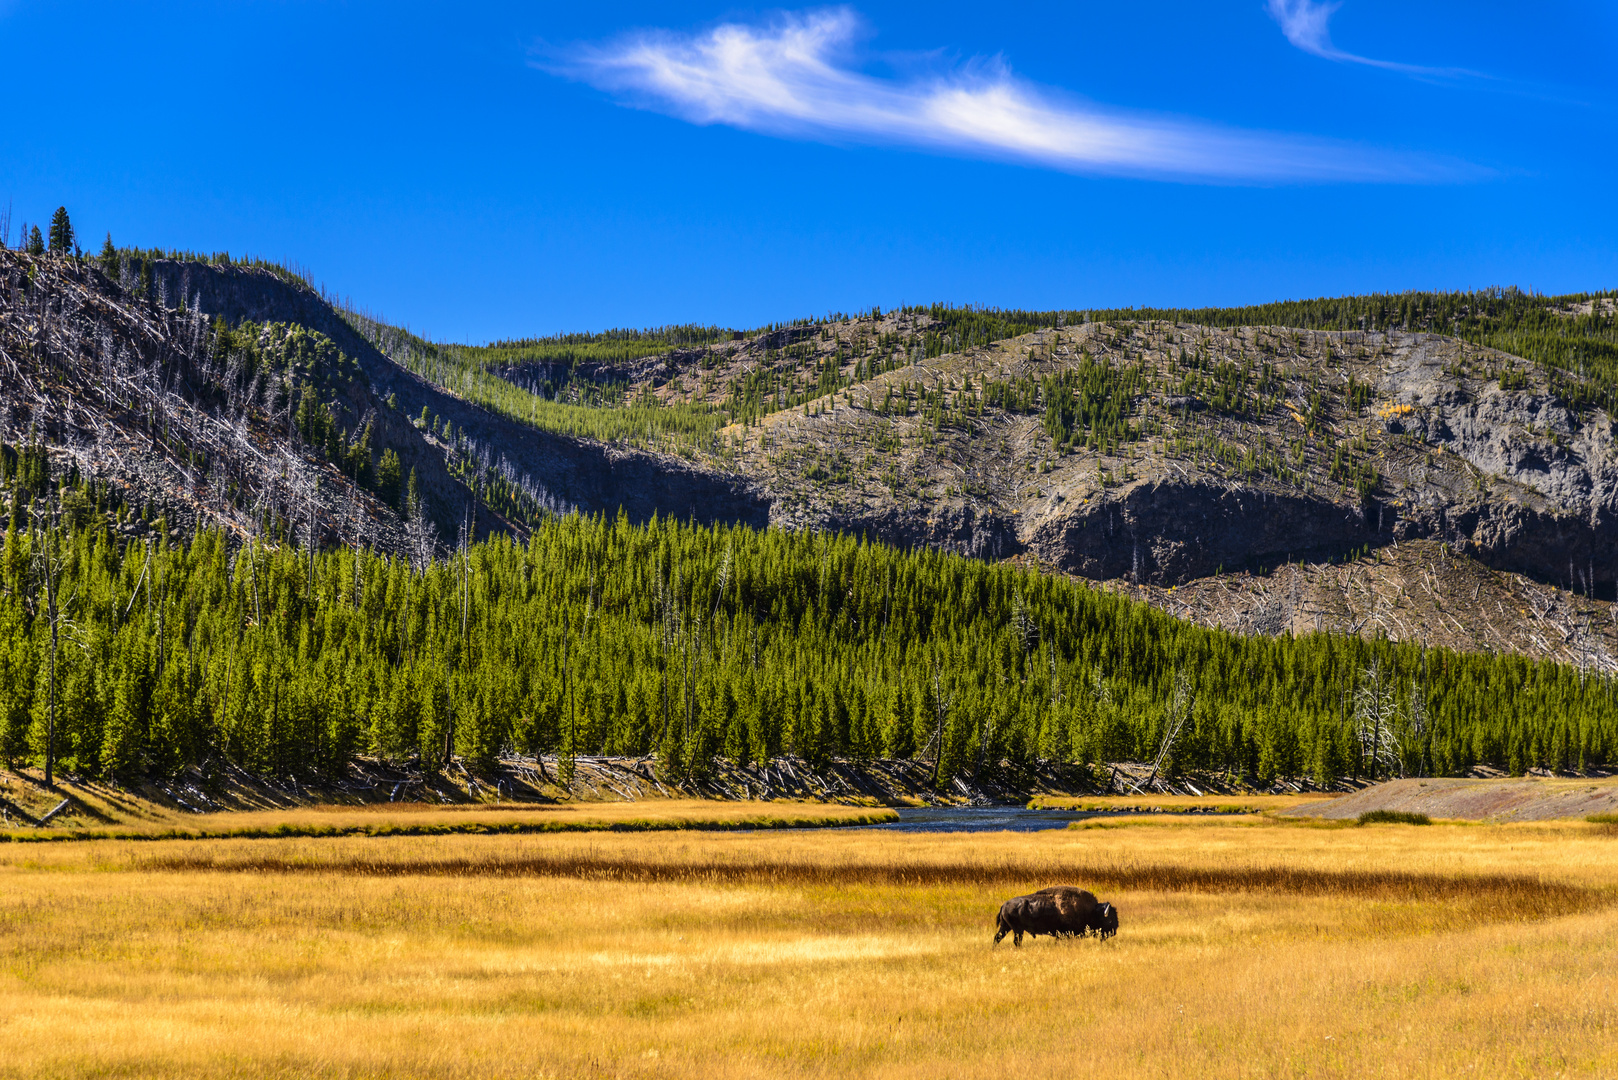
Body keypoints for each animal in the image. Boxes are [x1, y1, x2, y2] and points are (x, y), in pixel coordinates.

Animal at [990, 887, 1119, 945]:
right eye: (1109, 920)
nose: (1114, 932)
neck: (1091, 911)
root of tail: (1004, 905)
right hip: (1017, 930)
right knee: (1016, 941)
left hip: (1006, 927)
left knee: (997, 938)